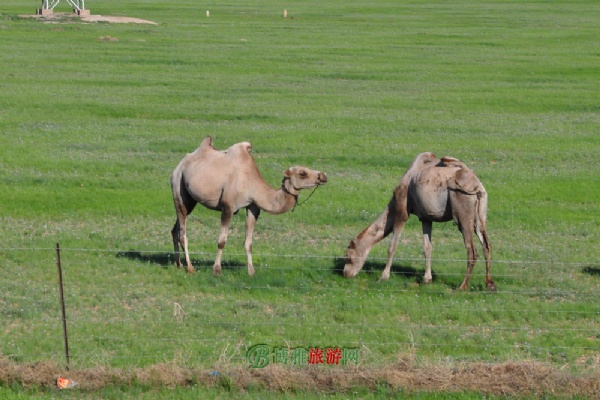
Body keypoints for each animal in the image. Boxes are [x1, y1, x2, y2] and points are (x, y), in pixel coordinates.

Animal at [169, 136, 328, 276]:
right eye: (302, 173)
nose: (323, 176)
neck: (251, 183)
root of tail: (180, 164)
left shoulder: (253, 207)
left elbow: (248, 243)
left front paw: (251, 271)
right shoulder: (228, 207)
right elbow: (222, 241)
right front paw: (217, 270)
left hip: (190, 199)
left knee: (175, 229)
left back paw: (178, 264)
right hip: (178, 187)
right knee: (182, 231)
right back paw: (190, 268)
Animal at [344, 152, 494, 290]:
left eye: (349, 257)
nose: (346, 274)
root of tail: (477, 186)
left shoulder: (401, 212)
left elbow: (392, 246)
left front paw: (383, 277)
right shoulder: (426, 217)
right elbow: (427, 248)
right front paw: (427, 279)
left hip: (462, 209)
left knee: (471, 249)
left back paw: (462, 286)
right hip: (481, 212)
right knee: (486, 244)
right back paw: (490, 284)